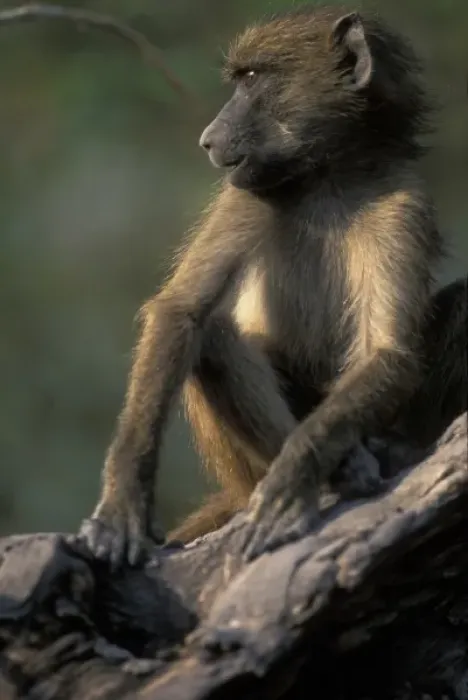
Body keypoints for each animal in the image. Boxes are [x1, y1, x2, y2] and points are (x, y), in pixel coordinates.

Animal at [79, 5, 467, 567]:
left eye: (252, 79)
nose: (208, 138)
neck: (327, 177)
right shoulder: (245, 191)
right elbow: (182, 311)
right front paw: (123, 504)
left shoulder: (403, 205)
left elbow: (387, 352)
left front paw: (295, 475)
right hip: (244, 469)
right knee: (215, 337)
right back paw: (346, 469)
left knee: (461, 302)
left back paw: (387, 450)